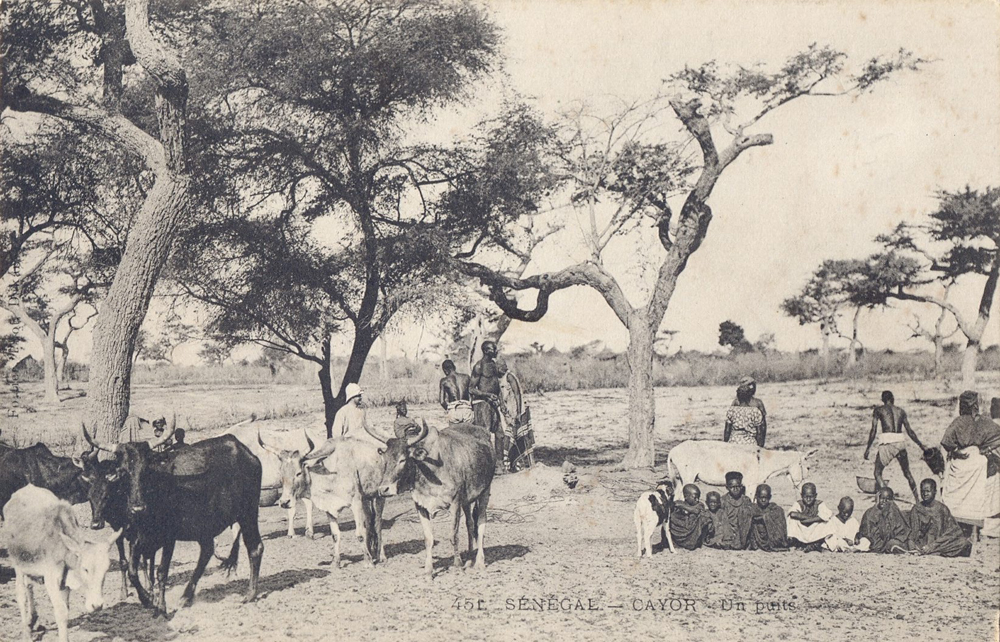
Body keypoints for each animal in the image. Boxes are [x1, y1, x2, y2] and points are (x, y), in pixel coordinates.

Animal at [2, 484, 120, 640]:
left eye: (106, 569)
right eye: (85, 569)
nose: (97, 605)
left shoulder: (65, 583)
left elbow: (66, 610)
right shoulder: (51, 579)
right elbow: (61, 612)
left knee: (29, 587)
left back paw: (32, 620)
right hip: (18, 564)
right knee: (21, 595)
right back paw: (26, 634)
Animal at [83, 422, 262, 612]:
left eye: (146, 469)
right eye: (123, 472)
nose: (138, 508)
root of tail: (244, 451)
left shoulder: (169, 537)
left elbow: (161, 571)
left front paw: (161, 604)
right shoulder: (136, 538)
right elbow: (133, 571)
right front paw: (147, 598)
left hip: (248, 513)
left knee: (255, 548)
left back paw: (250, 594)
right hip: (205, 526)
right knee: (207, 551)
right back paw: (185, 597)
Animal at [664, 438, 812, 498]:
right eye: (808, 468)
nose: (803, 489)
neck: (764, 460)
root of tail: (673, 451)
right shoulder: (751, 485)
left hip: (681, 478)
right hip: (688, 477)